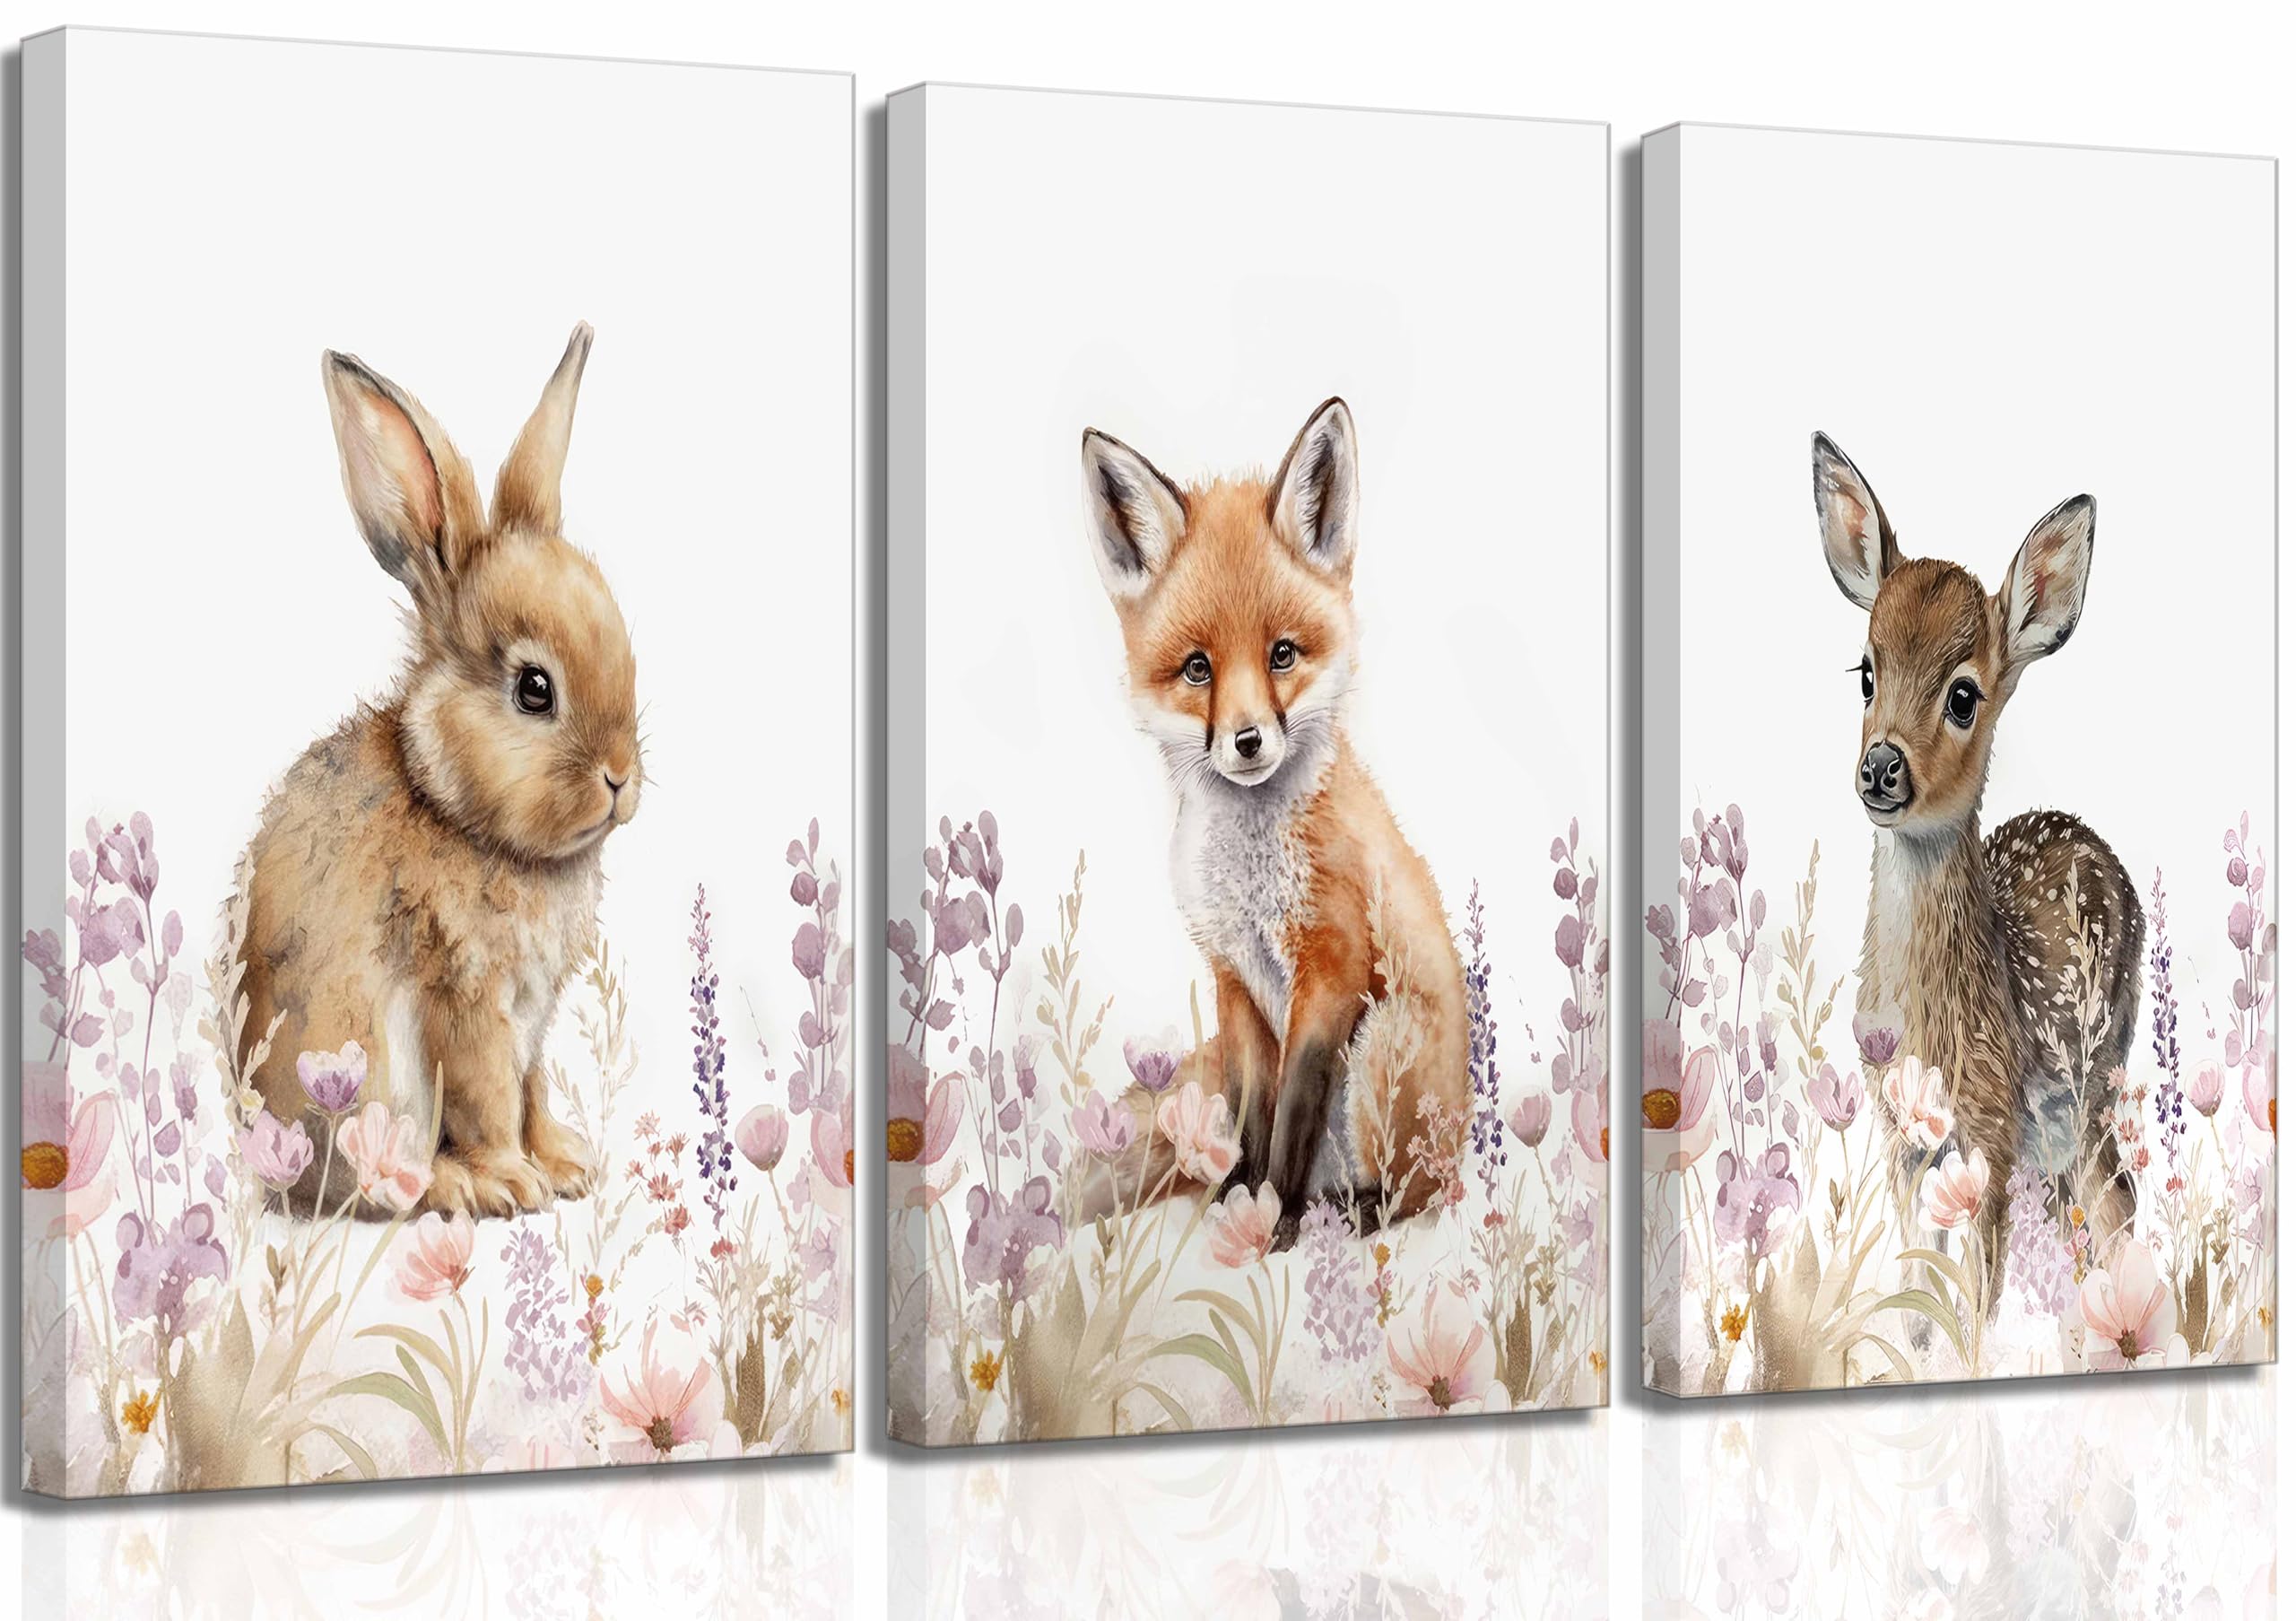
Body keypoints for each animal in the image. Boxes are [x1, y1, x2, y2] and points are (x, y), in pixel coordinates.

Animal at [236, 323, 642, 1219]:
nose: (621, 777)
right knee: (382, 1178)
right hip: (372, 1073)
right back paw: (458, 1182)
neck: (454, 805)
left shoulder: (531, 1016)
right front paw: (515, 1180)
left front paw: (567, 1164)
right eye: (534, 689)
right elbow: (491, 1094)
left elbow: (531, 1089)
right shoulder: (467, 999)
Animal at [1069, 398, 1469, 1249]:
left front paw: (1274, 1219)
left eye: (1283, 654)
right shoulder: (1233, 978)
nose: (1248, 741)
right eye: (1198, 668)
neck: (1247, 872)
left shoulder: (1332, 966)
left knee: (1408, 1193)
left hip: (1382, 1047)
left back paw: (1343, 1212)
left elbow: (1292, 1114)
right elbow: (1251, 1112)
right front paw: (1236, 1199)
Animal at [1811, 433, 2143, 1319]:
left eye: (1964, 695)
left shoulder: (1990, 1135)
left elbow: (1976, 1301)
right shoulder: (1901, 1137)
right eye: (1865, 671)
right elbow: (1919, 1290)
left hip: (2094, 1080)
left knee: (2117, 1204)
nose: (1880, 765)